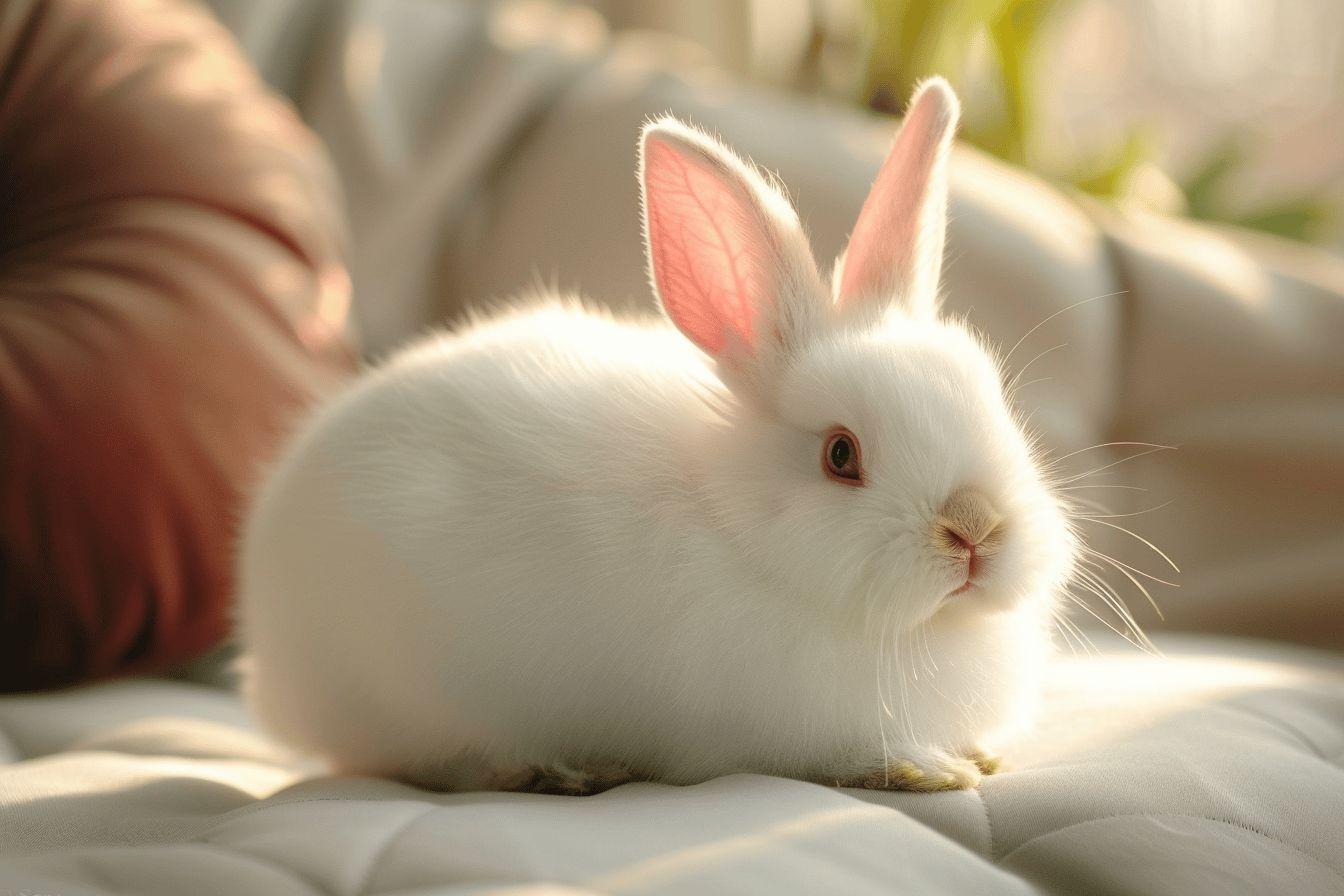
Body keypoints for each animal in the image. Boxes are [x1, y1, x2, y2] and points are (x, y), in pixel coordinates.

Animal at [236, 77, 1075, 795]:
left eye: (995, 402)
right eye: (842, 455)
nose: (975, 528)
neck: (740, 533)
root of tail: (269, 664)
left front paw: (976, 755)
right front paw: (929, 770)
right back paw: (555, 770)